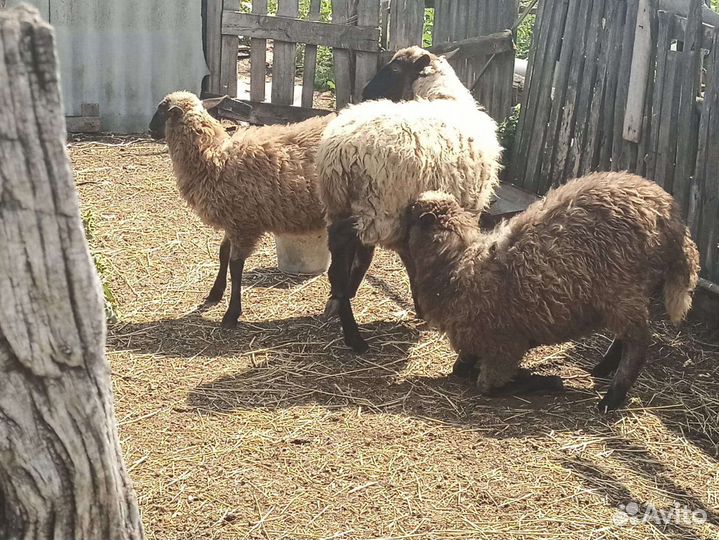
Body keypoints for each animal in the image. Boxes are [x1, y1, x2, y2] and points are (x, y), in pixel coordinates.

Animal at [149, 91, 334, 328]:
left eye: (161, 111)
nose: (149, 130)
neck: (215, 157)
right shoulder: (233, 221)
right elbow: (222, 254)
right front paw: (215, 292)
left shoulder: (244, 224)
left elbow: (235, 266)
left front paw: (231, 313)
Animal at [317, 46, 502, 353]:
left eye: (393, 70)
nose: (366, 91)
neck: (443, 96)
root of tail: (339, 150)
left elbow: (401, 260)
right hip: (378, 207)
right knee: (341, 255)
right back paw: (354, 335)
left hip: (344, 204)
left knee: (348, 254)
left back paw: (341, 301)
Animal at [404, 171, 700, 412]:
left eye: (412, 213)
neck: (455, 266)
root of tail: (669, 213)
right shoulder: (476, 343)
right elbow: (460, 369)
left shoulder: (503, 348)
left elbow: (486, 386)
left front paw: (547, 381)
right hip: (628, 295)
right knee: (627, 337)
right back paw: (603, 369)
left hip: (622, 291)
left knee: (638, 343)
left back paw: (612, 398)